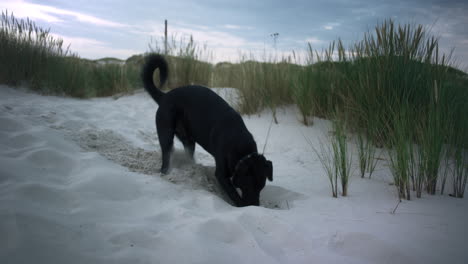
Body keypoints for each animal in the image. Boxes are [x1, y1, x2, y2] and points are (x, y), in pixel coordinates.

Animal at [144, 53, 274, 206]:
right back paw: (165, 172)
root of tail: (165, 96)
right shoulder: (221, 174)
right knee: (166, 155)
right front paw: (241, 203)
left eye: (261, 186)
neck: (240, 144)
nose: (255, 205)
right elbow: (234, 194)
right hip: (166, 134)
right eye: (248, 185)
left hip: (189, 140)